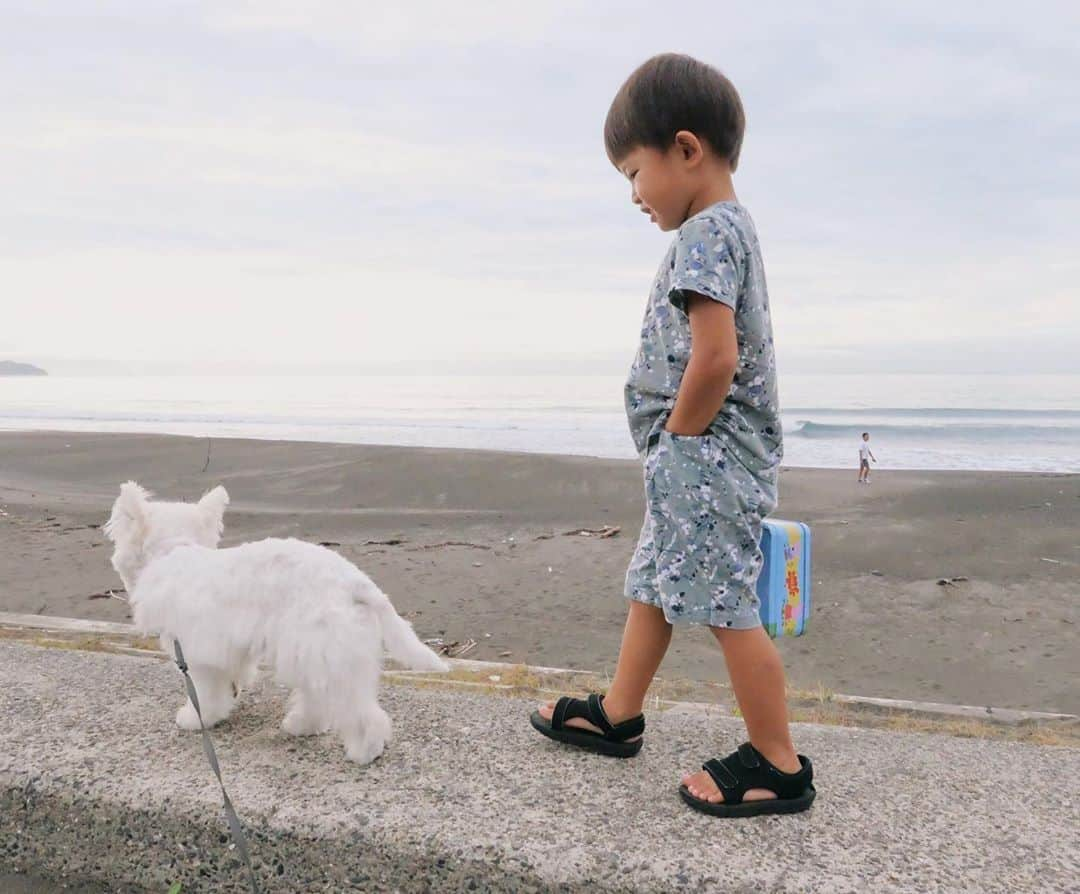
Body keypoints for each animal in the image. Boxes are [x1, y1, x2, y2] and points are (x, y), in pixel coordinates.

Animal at [104, 479, 447, 764]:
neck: (175, 551)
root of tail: (356, 582)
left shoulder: (198, 656)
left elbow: (205, 694)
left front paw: (196, 718)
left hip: (325, 655)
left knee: (360, 713)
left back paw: (364, 751)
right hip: (313, 654)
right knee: (318, 699)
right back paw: (303, 725)